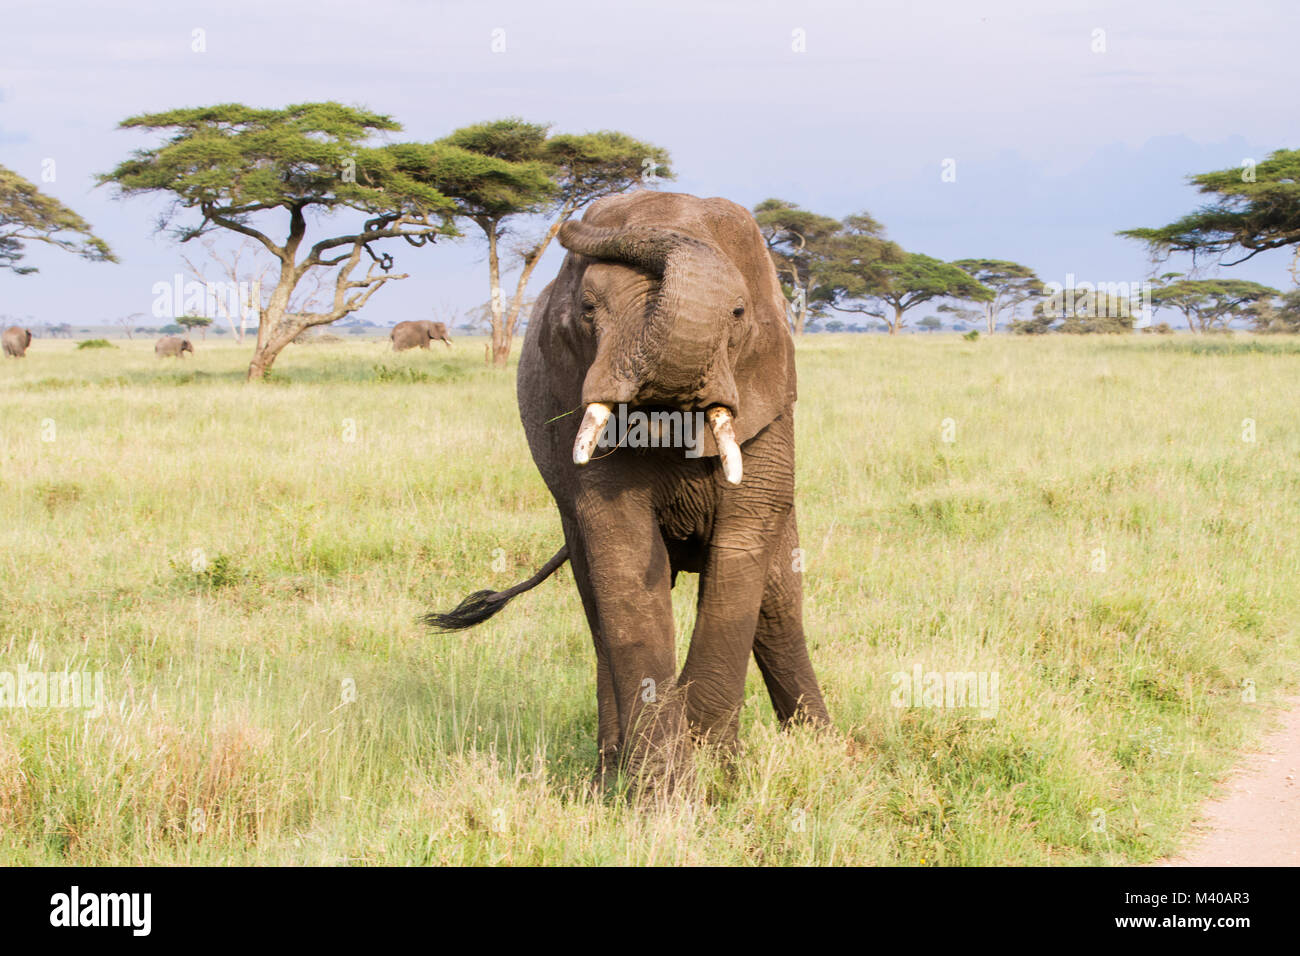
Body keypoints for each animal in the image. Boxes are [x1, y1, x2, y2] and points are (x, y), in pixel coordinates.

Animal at [428, 191, 832, 790]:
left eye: (738, 314)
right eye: (588, 310)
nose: (574, 221)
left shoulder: (770, 413)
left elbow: (741, 554)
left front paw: (711, 770)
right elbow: (623, 558)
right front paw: (661, 793)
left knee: (779, 601)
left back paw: (826, 748)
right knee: (597, 602)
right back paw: (608, 772)